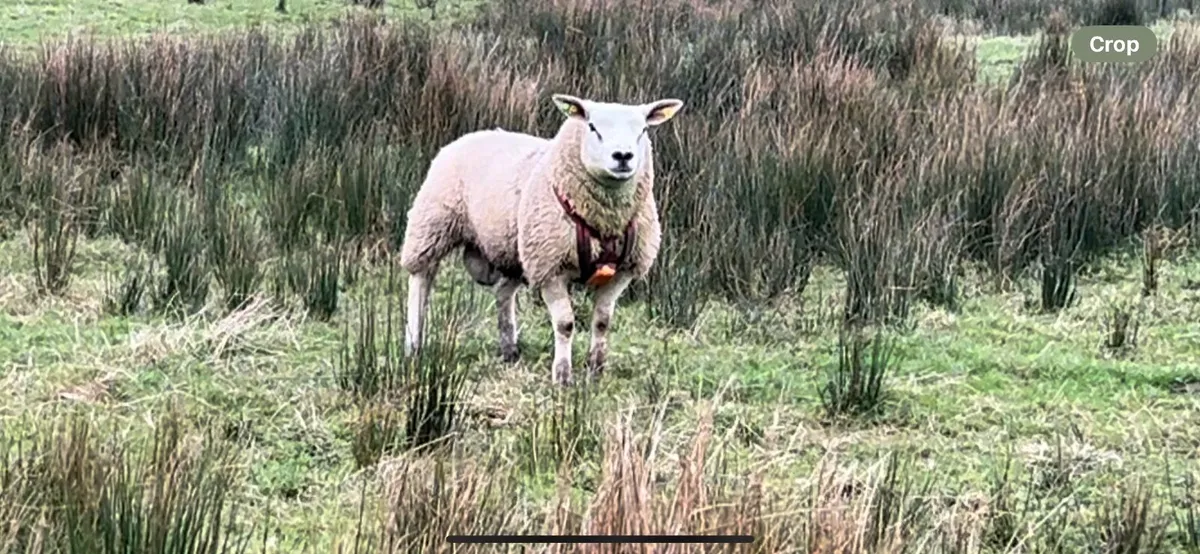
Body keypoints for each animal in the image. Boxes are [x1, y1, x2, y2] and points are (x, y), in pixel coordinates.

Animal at [399, 93, 684, 385]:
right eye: (592, 127)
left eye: (643, 130)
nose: (623, 156)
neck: (605, 220)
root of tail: (474, 134)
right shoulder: (550, 267)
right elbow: (565, 324)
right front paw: (562, 376)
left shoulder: (622, 271)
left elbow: (602, 321)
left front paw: (596, 369)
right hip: (433, 224)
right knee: (421, 280)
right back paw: (414, 344)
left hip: (515, 251)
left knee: (503, 292)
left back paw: (510, 348)